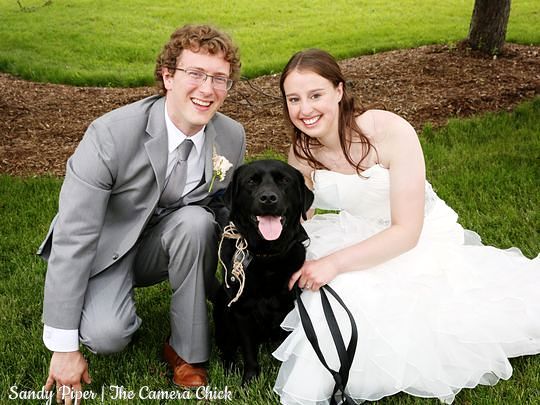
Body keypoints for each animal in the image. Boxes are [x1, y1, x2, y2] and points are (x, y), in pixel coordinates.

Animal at [213, 158, 314, 382]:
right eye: (251, 181)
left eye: (284, 180)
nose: (268, 198)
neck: (267, 257)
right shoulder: (241, 310)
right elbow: (248, 350)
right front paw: (250, 379)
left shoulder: (293, 304)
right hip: (222, 307)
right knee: (228, 346)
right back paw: (229, 367)